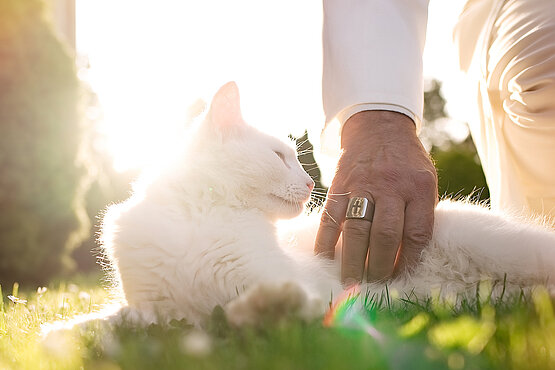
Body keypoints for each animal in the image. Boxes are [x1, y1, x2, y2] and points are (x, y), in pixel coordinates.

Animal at [99, 82, 555, 328]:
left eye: (293, 157)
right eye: (279, 156)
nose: (307, 183)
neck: (203, 217)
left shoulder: (311, 288)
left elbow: (259, 305)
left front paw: (263, 308)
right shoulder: (154, 311)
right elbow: (104, 324)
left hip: (507, 248)